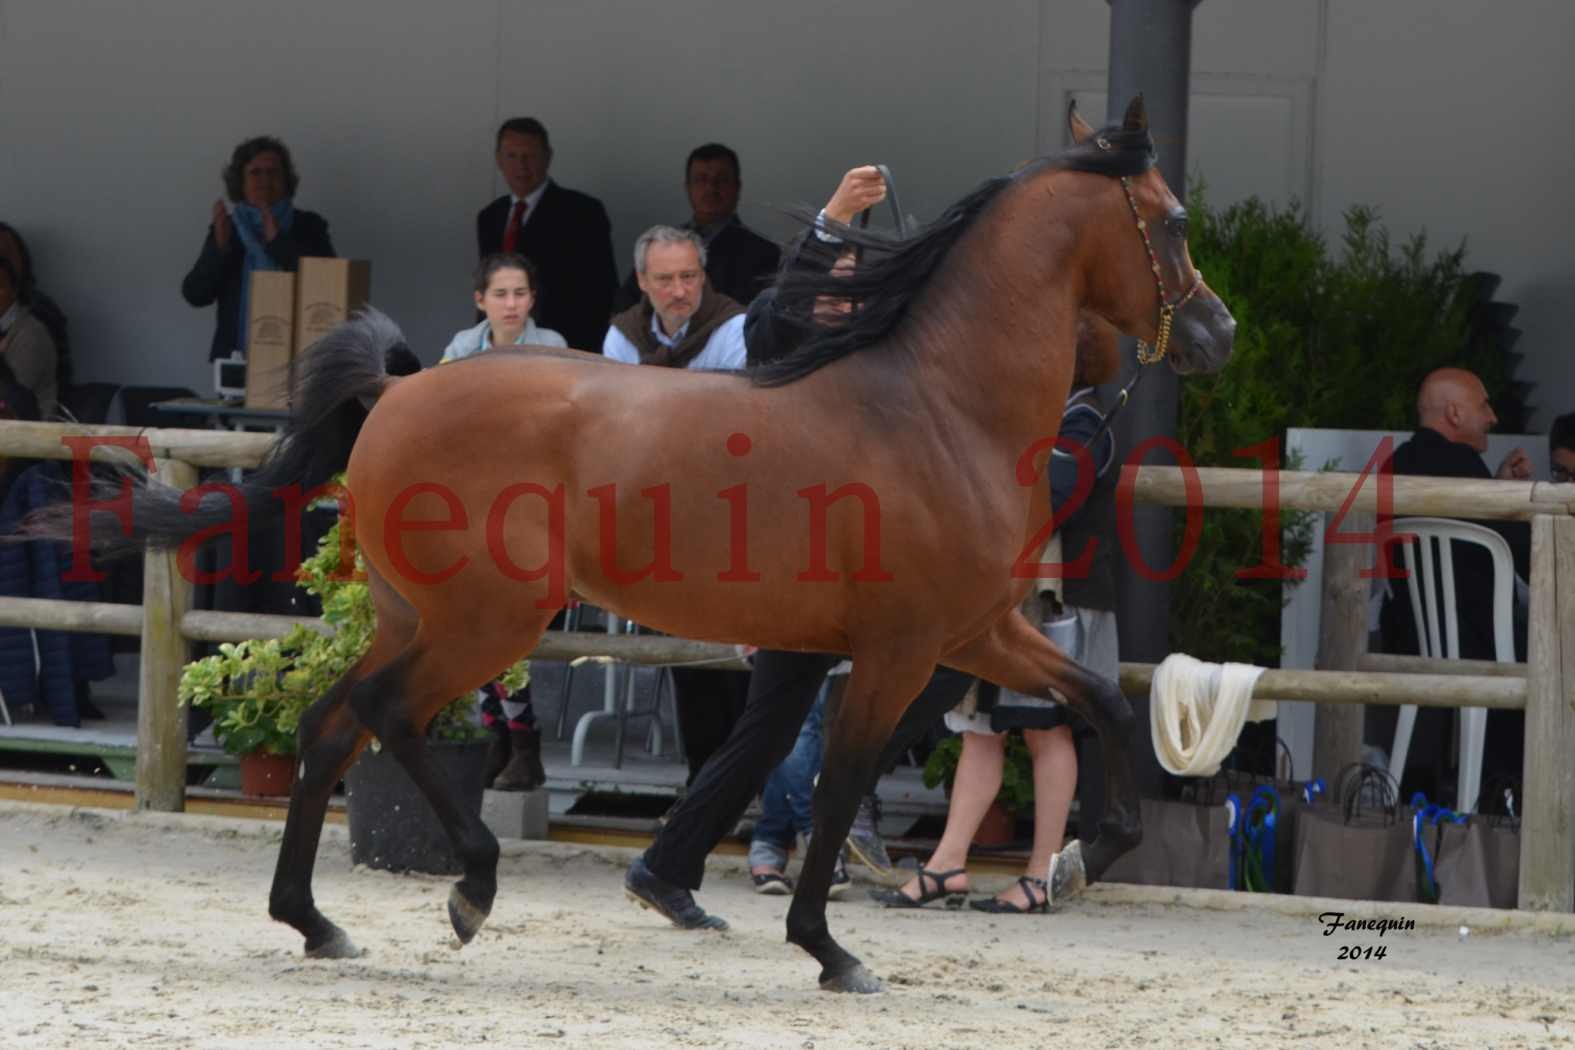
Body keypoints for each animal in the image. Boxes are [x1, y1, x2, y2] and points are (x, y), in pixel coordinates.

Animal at [46, 100, 1228, 994]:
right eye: (1170, 220)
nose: (1215, 333)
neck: (938, 408)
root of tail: (396, 392)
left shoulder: (975, 631)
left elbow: (1103, 698)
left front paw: (1082, 855)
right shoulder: (900, 650)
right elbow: (840, 784)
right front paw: (831, 949)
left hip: (414, 613)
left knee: (331, 722)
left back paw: (316, 922)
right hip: (485, 622)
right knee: (383, 713)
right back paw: (469, 887)